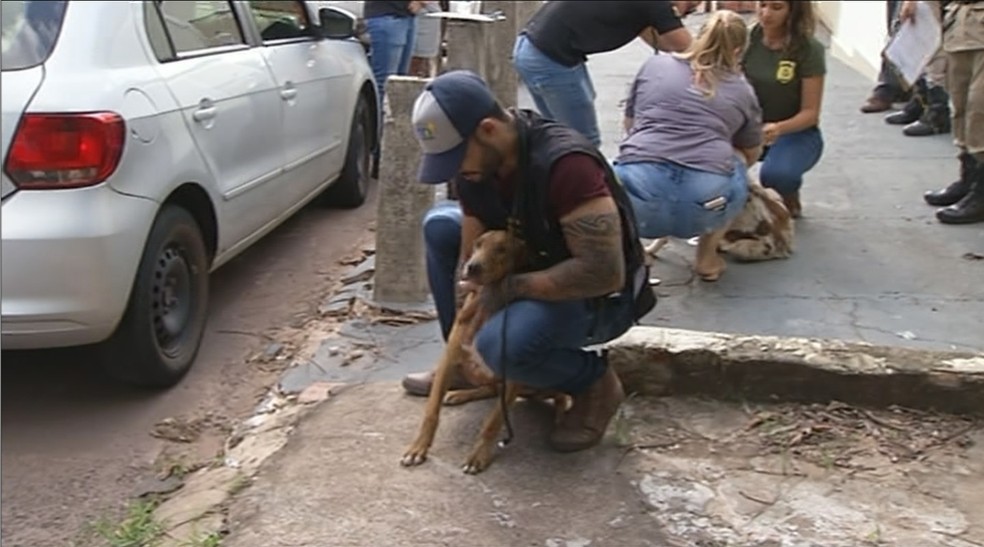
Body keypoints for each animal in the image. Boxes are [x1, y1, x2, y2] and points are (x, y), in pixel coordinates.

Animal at [400, 231, 568, 476]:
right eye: (477, 244)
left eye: (503, 249)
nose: (472, 266)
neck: (485, 304)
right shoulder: (449, 361)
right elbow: (431, 411)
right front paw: (417, 448)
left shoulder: (512, 376)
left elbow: (493, 422)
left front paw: (478, 456)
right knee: (490, 388)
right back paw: (458, 394)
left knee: (562, 395)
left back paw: (563, 419)